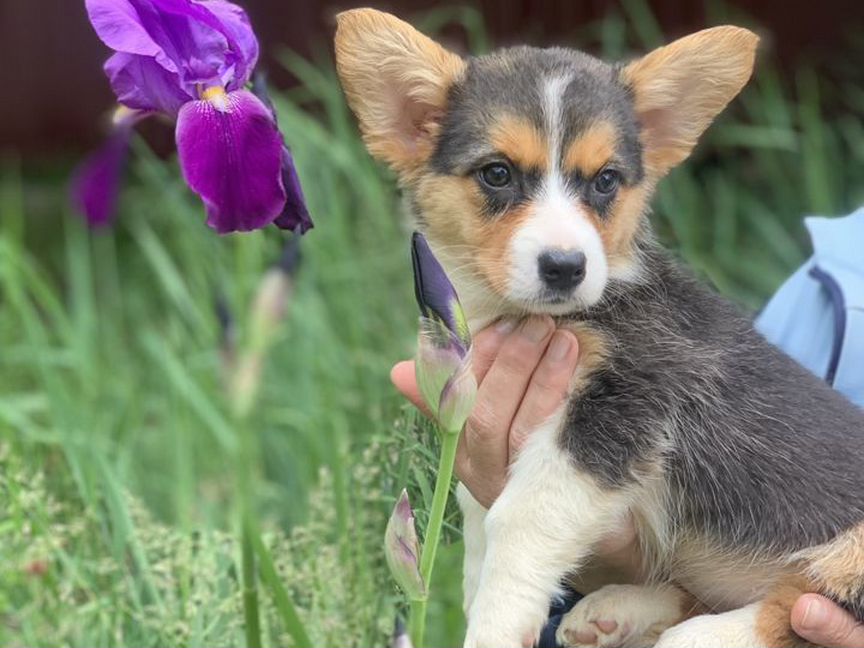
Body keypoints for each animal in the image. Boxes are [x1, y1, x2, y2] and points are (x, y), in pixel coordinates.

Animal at [336, 10, 864, 648]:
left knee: (799, 598)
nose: (566, 267)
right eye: (497, 174)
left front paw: (493, 622)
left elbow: (517, 518)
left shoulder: (623, 407)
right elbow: (481, 516)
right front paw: (479, 589)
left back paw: (703, 636)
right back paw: (618, 610)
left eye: (606, 181)